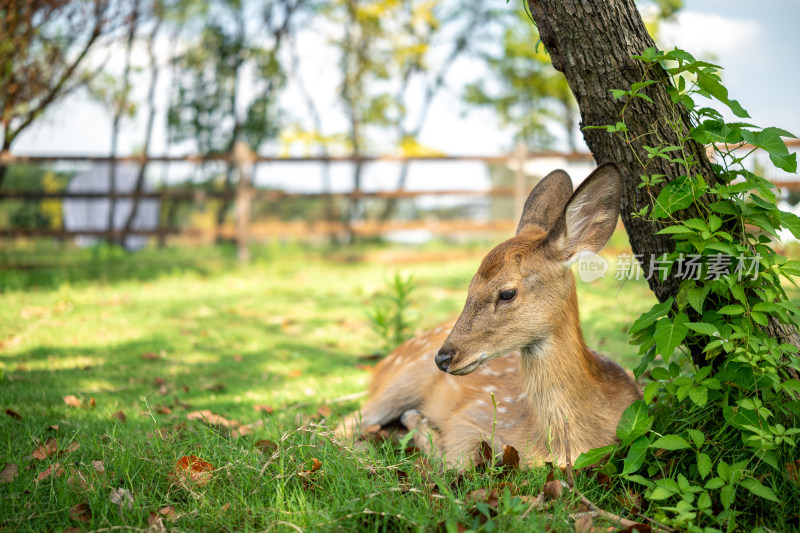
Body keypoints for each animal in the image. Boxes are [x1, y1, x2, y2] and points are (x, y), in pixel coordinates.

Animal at [338, 162, 636, 466]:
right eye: (470, 286)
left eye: (507, 293)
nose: (443, 357)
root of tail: (381, 365)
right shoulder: (470, 414)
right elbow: (459, 461)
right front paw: (421, 427)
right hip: (403, 379)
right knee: (345, 424)